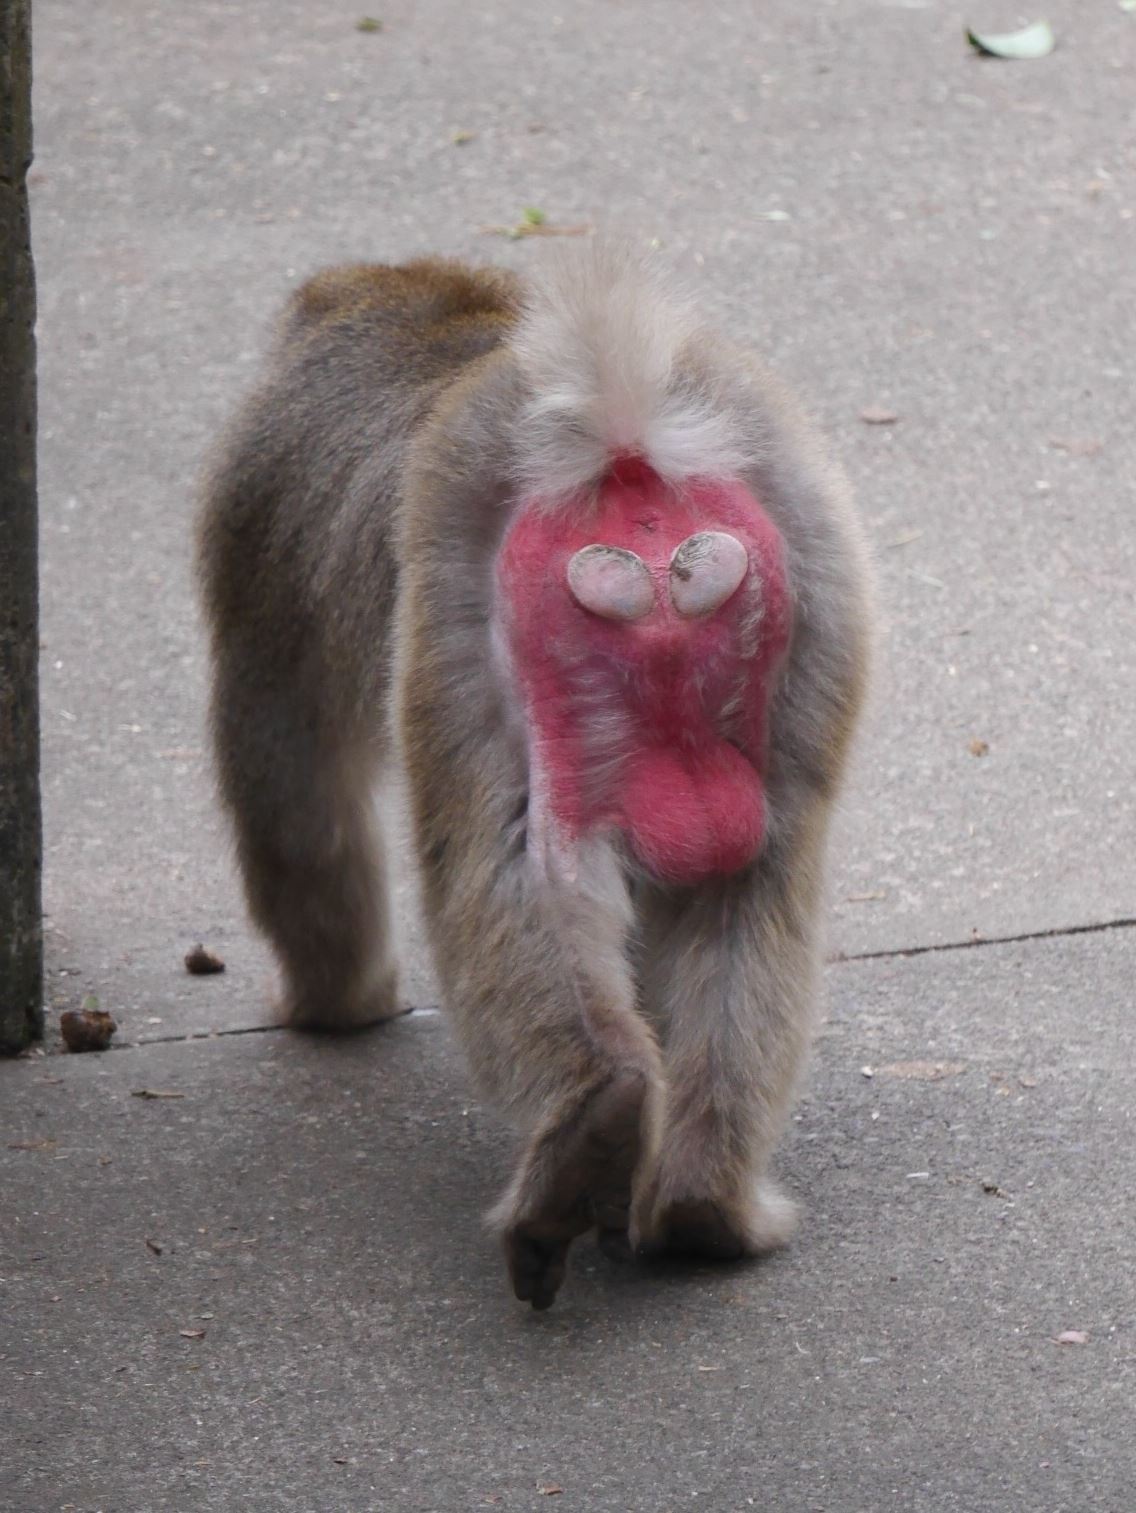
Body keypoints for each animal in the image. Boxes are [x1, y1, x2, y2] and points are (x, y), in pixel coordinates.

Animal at [197, 245, 873, 1310]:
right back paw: (693, 1196)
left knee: (500, 856)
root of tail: (629, 465)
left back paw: (597, 1133)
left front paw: (338, 1002)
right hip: (803, 563)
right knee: (751, 878)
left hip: (470, 591)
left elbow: (290, 786)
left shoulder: (255, 507)